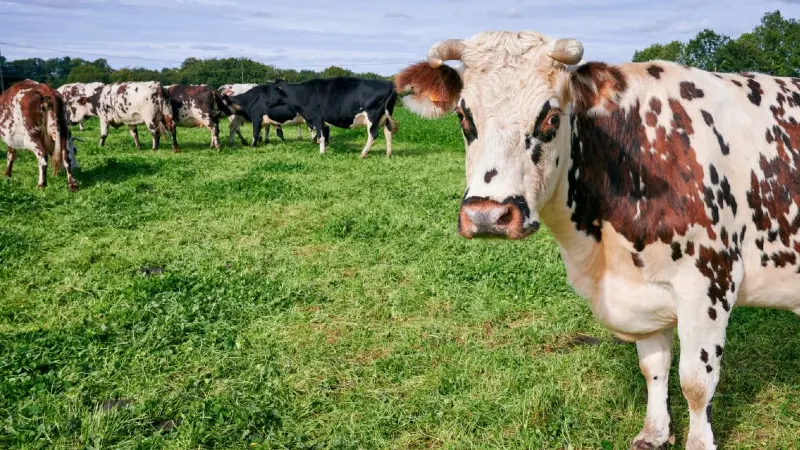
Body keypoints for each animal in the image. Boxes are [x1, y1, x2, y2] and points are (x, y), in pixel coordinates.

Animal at [266, 78, 396, 159]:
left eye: (272, 91)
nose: (267, 103)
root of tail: (389, 84)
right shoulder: (322, 121)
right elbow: (325, 135)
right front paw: (324, 148)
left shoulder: (317, 118)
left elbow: (321, 136)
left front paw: (321, 153)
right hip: (386, 118)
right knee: (388, 133)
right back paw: (388, 155)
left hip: (372, 116)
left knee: (373, 135)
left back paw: (363, 154)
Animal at [396, 29, 800, 448]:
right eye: (463, 116)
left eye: (551, 117)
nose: (487, 215)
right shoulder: (642, 291)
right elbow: (653, 366)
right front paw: (654, 432)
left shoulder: (709, 281)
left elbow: (696, 383)